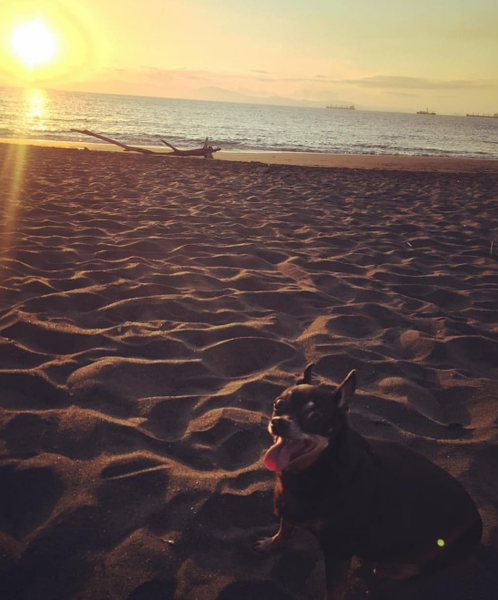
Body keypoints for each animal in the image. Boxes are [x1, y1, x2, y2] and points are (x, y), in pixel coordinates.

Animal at [256, 364, 482, 596]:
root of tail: (479, 528)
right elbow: (285, 527)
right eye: (277, 405)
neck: (314, 470)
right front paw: (272, 544)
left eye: (314, 417)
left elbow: (334, 589)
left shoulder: (338, 550)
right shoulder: (288, 506)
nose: (278, 422)